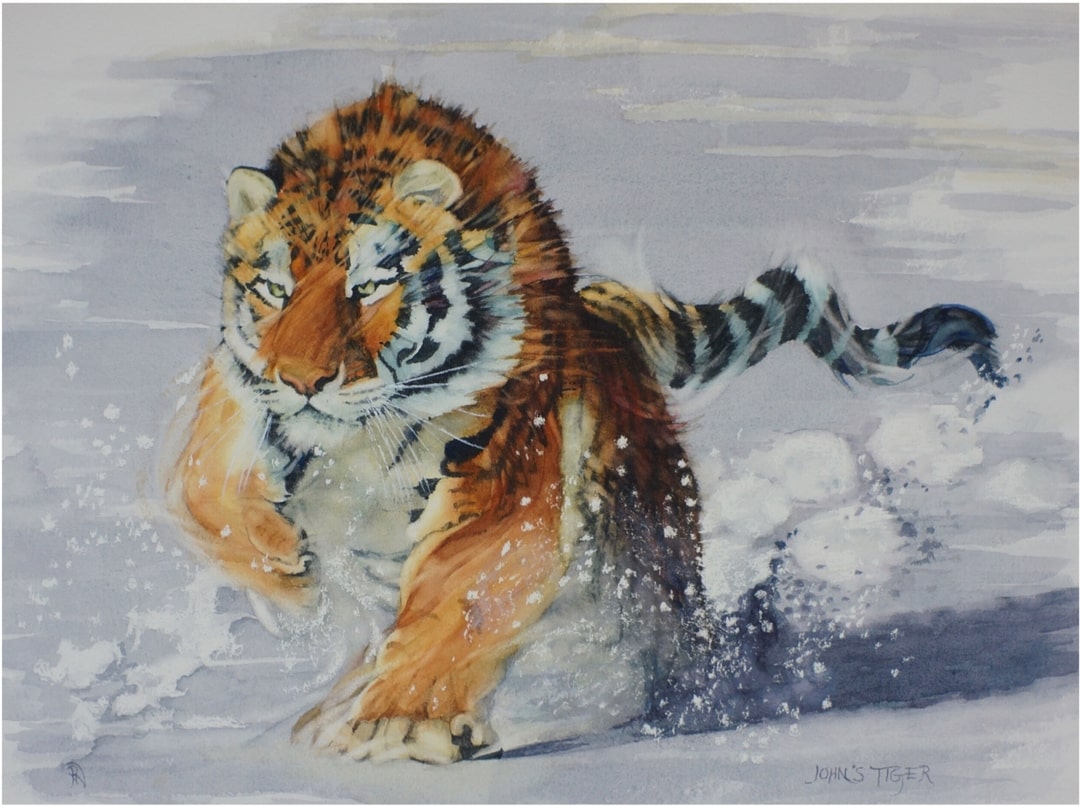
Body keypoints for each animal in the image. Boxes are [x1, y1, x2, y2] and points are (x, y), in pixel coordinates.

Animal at [166, 82, 1004, 764]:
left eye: (371, 285)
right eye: (274, 289)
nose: (302, 380)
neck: (360, 438)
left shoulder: (506, 472)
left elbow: (458, 590)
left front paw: (401, 723)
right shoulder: (235, 393)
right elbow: (204, 483)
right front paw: (282, 562)